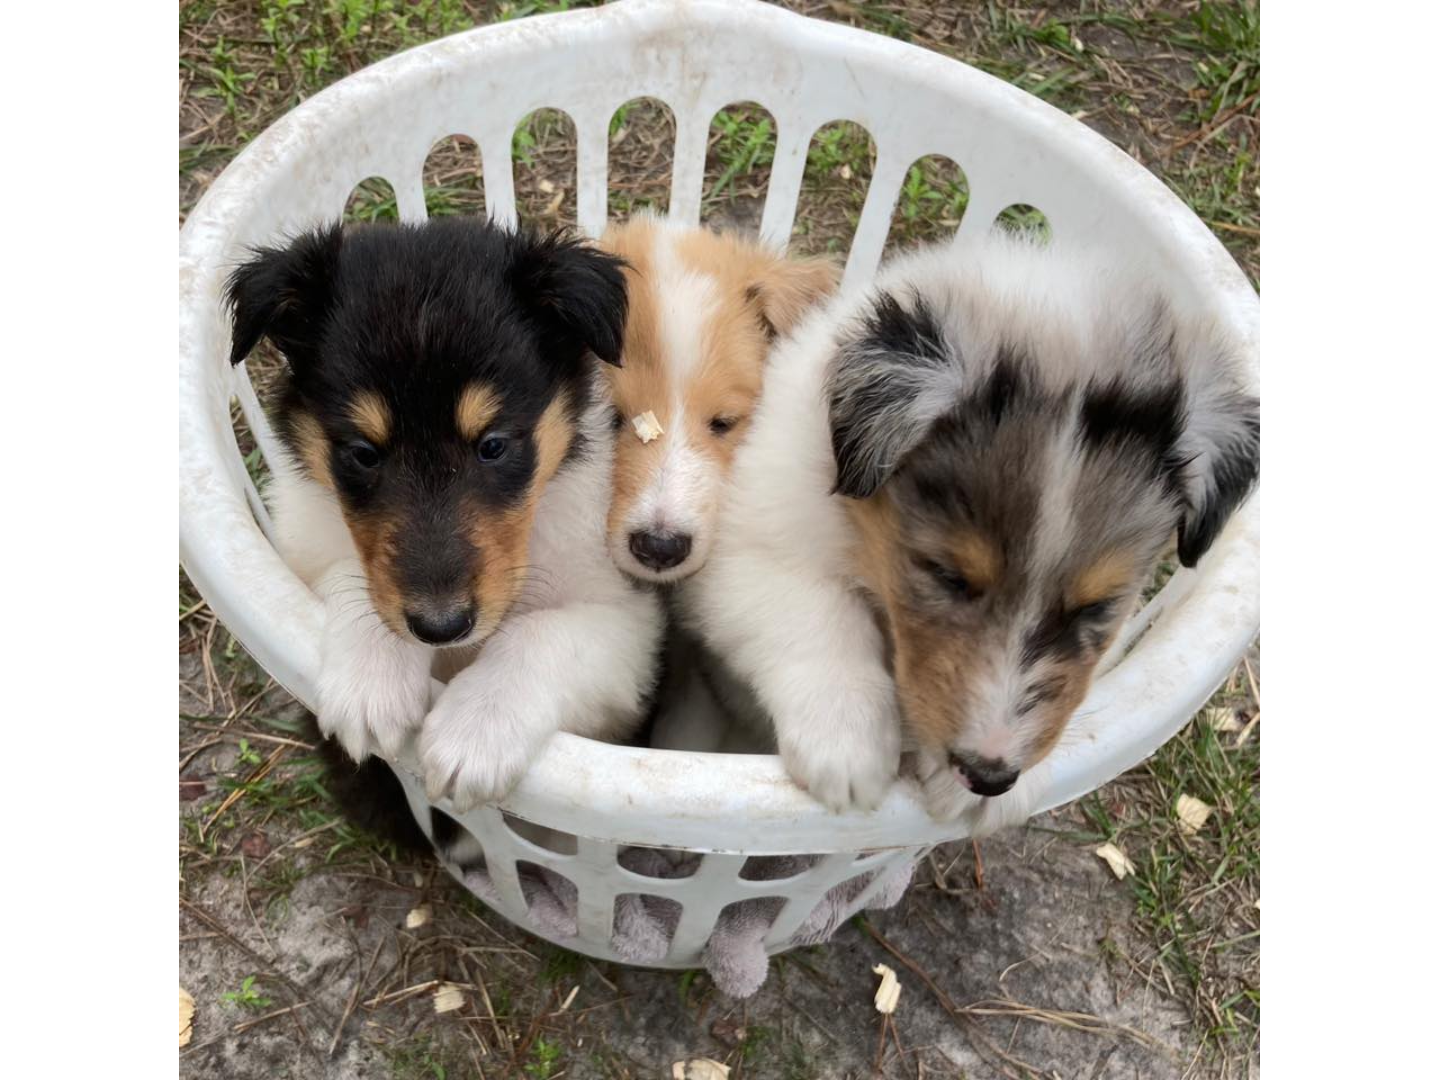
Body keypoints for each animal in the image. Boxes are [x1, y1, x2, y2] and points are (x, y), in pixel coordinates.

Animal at [228, 217, 662, 812]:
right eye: (362, 452)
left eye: (494, 445)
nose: (441, 627)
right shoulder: (300, 551)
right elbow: (352, 574)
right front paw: (373, 685)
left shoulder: (631, 620)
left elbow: (541, 631)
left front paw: (473, 735)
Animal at [679, 234, 1255, 829]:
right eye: (948, 576)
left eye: (1096, 608)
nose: (990, 775)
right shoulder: (750, 552)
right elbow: (818, 618)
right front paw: (847, 746)